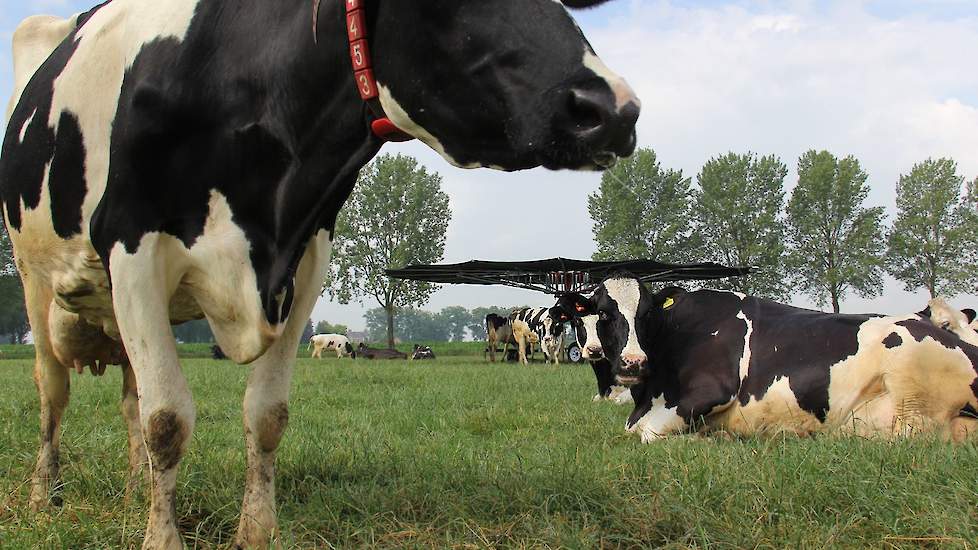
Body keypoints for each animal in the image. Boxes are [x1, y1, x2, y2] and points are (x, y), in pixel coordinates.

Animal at [1, 2, 640, 548]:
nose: (618, 110)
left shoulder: (306, 262)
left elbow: (266, 414)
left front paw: (256, 533)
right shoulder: (132, 246)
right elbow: (168, 420)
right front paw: (163, 539)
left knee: (130, 396)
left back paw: (136, 490)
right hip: (35, 279)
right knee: (53, 392)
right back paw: (45, 495)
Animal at [556, 276, 976, 444]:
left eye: (646, 315)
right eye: (603, 314)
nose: (633, 362)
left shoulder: (714, 390)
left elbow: (649, 433)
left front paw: (710, 438)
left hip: (910, 388)